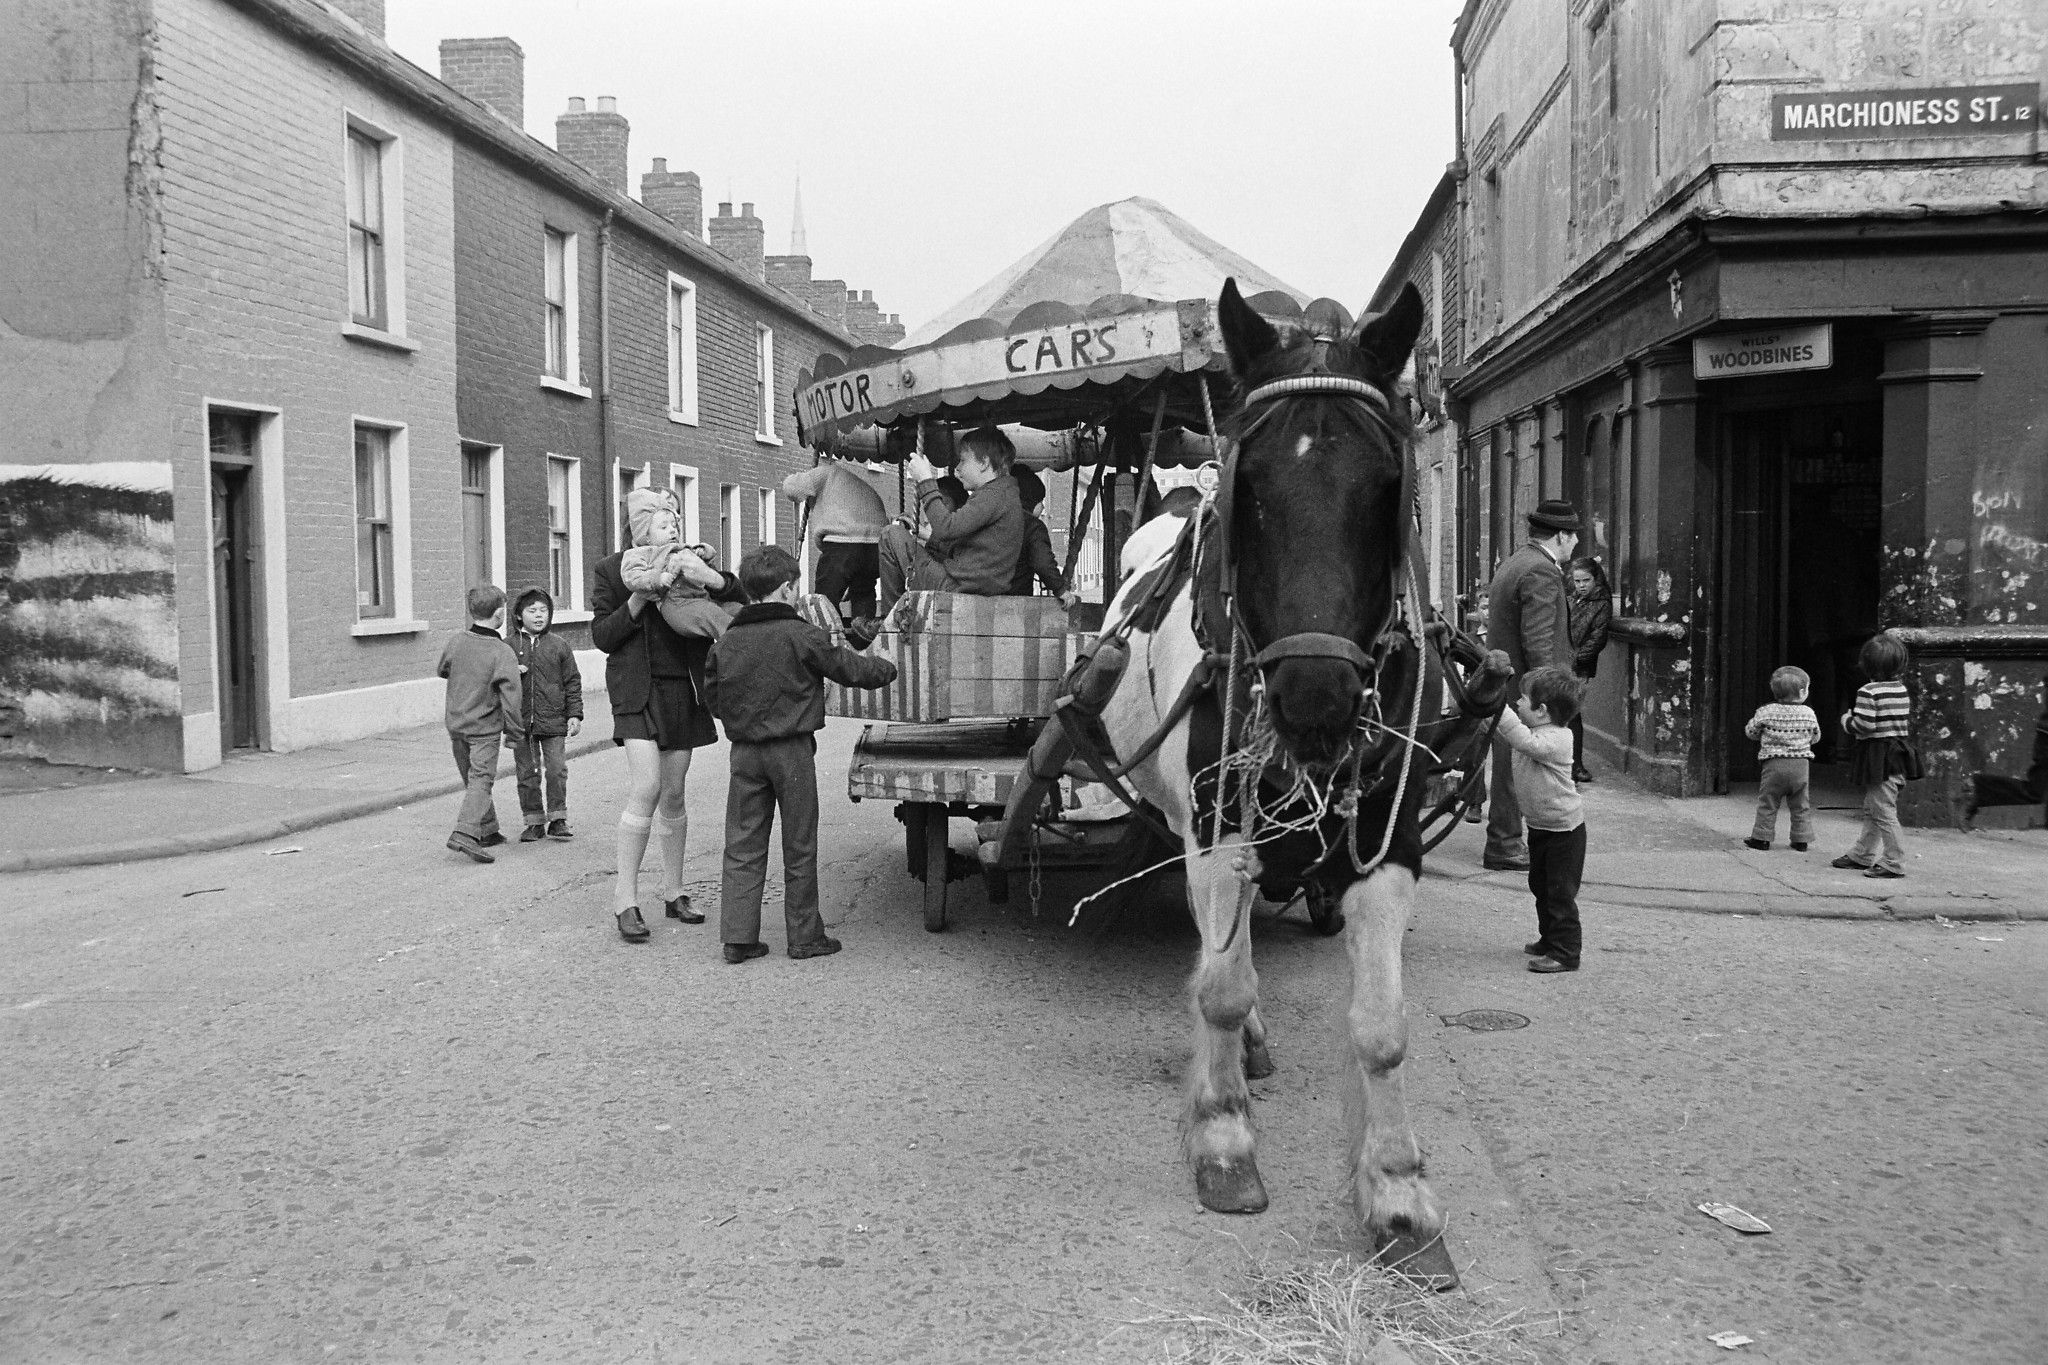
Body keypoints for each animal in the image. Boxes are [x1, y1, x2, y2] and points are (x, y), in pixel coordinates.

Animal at [1089, 280, 1507, 1293]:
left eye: (1390, 486)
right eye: (1249, 491)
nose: (1315, 700)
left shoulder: (1388, 840)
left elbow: (1384, 1024)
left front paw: (1399, 1193)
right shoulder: (1216, 825)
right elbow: (1220, 986)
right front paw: (1223, 1137)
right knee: (1217, 946)